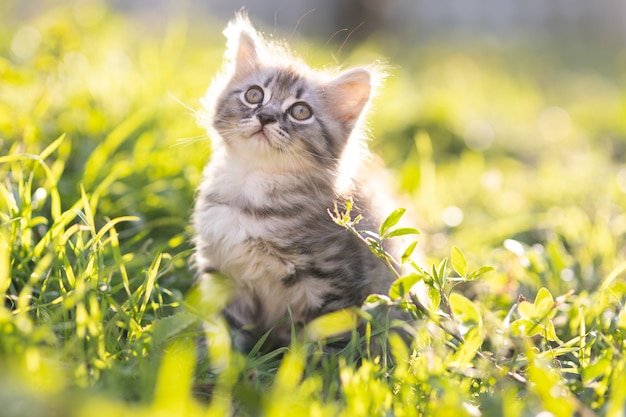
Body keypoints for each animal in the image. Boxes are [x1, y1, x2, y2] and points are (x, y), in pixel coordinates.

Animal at [191, 13, 400, 350]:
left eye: (300, 111)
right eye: (254, 95)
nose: (266, 116)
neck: (252, 189)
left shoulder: (332, 285)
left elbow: (325, 346)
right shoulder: (224, 278)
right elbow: (225, 337)